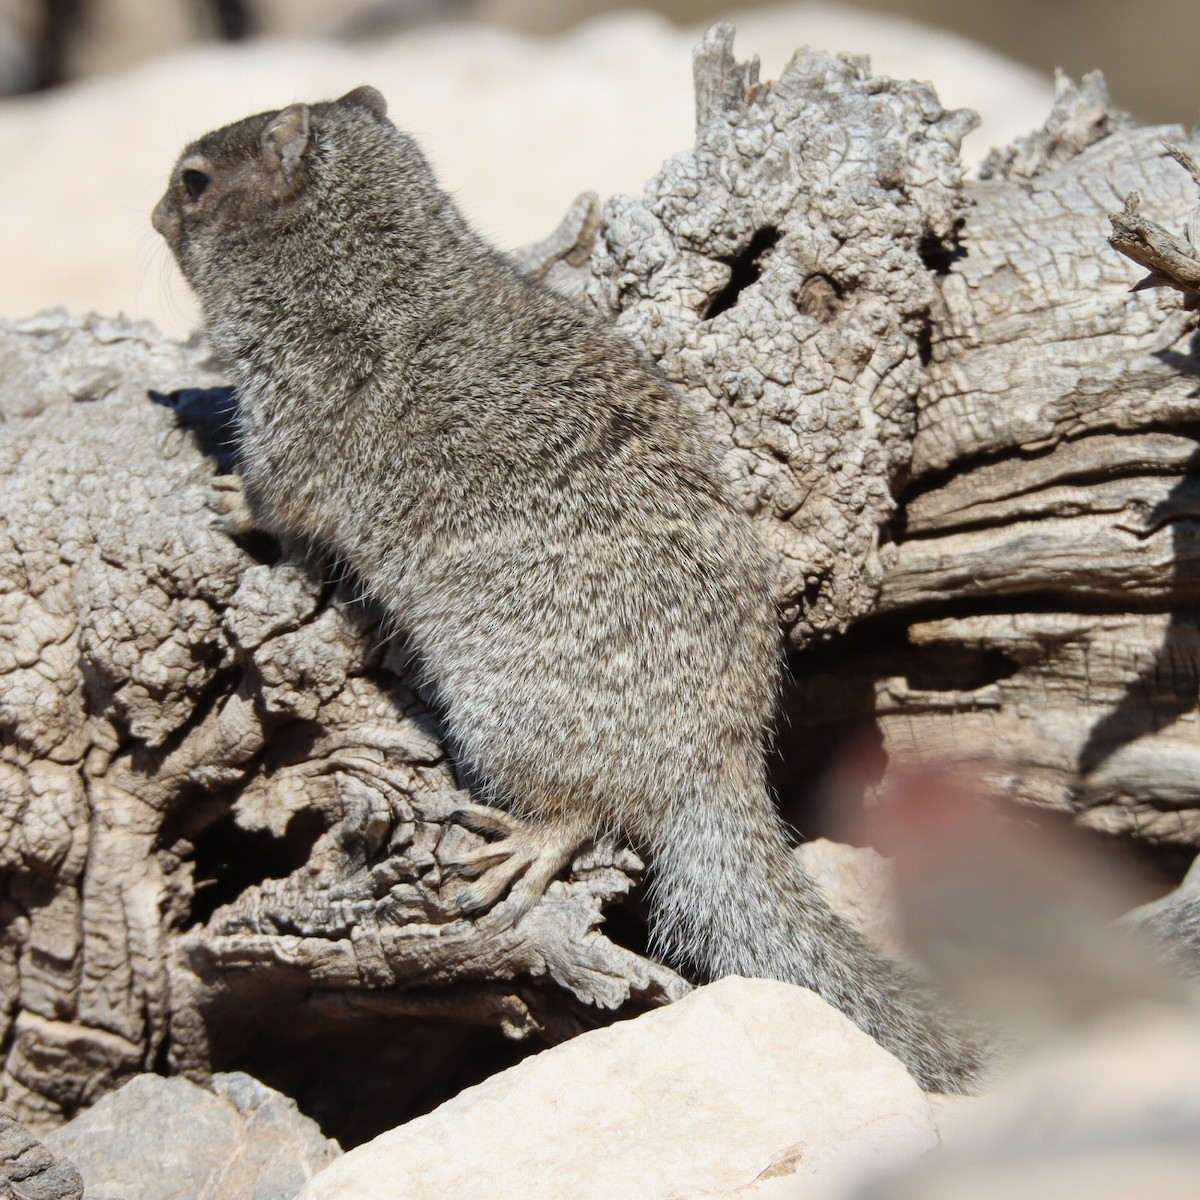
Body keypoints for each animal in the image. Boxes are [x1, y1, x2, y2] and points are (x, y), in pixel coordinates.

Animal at [153, 86, 988, 1092]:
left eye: (195, 181)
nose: (152, 213)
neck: (374, 261)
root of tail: (718, 764)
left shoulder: (292, 416)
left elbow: (279, 501)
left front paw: (226, 494)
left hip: (502, 716)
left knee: (586, 813)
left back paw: (526, 845)